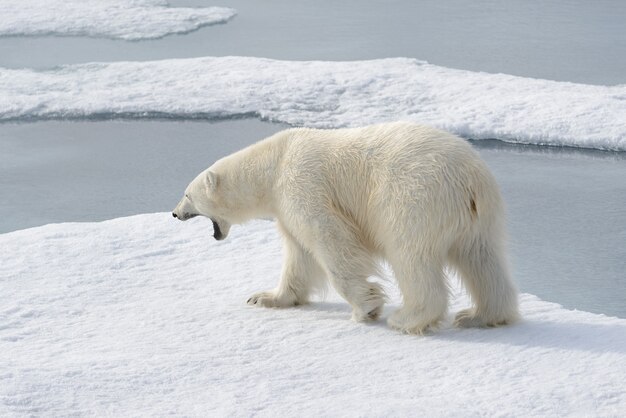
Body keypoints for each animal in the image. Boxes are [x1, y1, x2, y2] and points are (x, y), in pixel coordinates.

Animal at [171, 120, 516, 334]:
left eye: (187, 194)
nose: (174, 214)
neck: (274, 164)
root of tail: (469, 178)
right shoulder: (286, 208)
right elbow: (299, 255)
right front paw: (264, 298)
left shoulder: (302, 185)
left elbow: (329, 239)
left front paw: (366, 308)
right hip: (480, 217)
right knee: (483, 260)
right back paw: (480, 315)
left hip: (414, 199)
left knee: (411, 256)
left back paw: (407, 318)